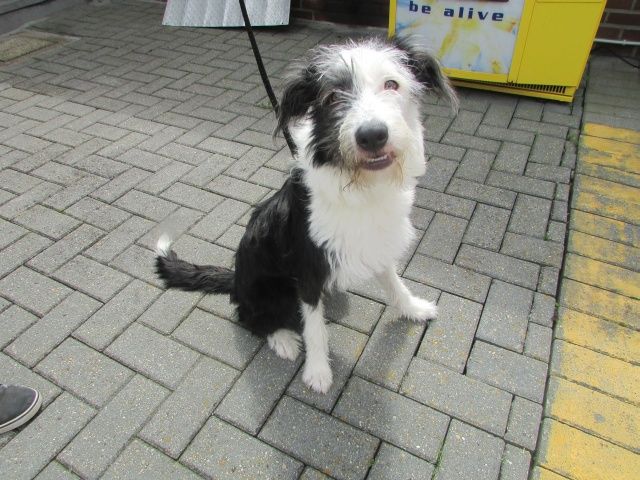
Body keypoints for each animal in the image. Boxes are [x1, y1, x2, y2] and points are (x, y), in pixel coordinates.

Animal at [157, 38, 458, 394]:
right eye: (332, 97)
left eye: (391, 84)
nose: (372, 135)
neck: (360, 188)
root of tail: (236, 279)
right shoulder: (308, 268)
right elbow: (314, 328)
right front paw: (317, 372)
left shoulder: (376, 242)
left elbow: (393, 281)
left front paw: (413, 308)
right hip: (270, 291)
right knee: (249, 316)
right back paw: (282, 338)